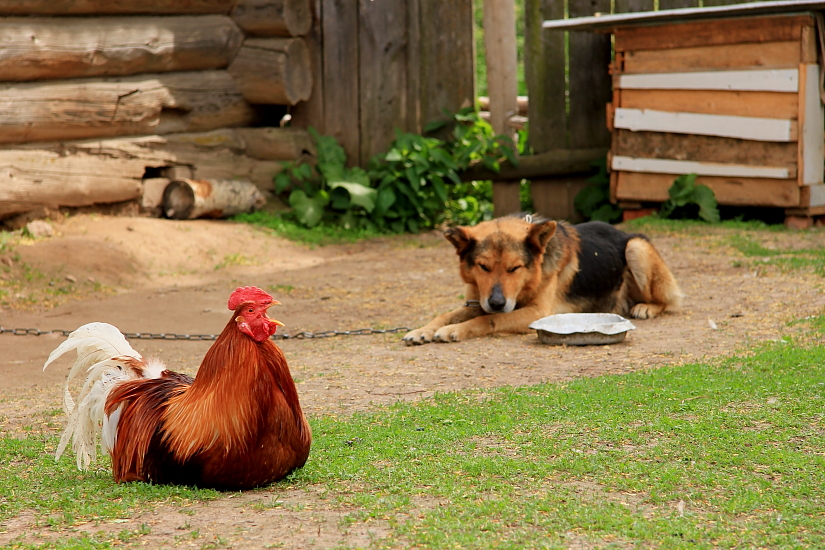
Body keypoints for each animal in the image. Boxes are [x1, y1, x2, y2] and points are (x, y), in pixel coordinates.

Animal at [404, 215, 684, 348]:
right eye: (483, 267)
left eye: (514, 268)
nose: (496, 302)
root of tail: (623, 231)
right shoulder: (477, 301)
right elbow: (446, 315)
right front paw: (422, 330)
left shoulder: (537, 312)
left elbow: (487, 320)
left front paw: (454, 330)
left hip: (636, 247)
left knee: (668, 301)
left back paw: (646, 307)